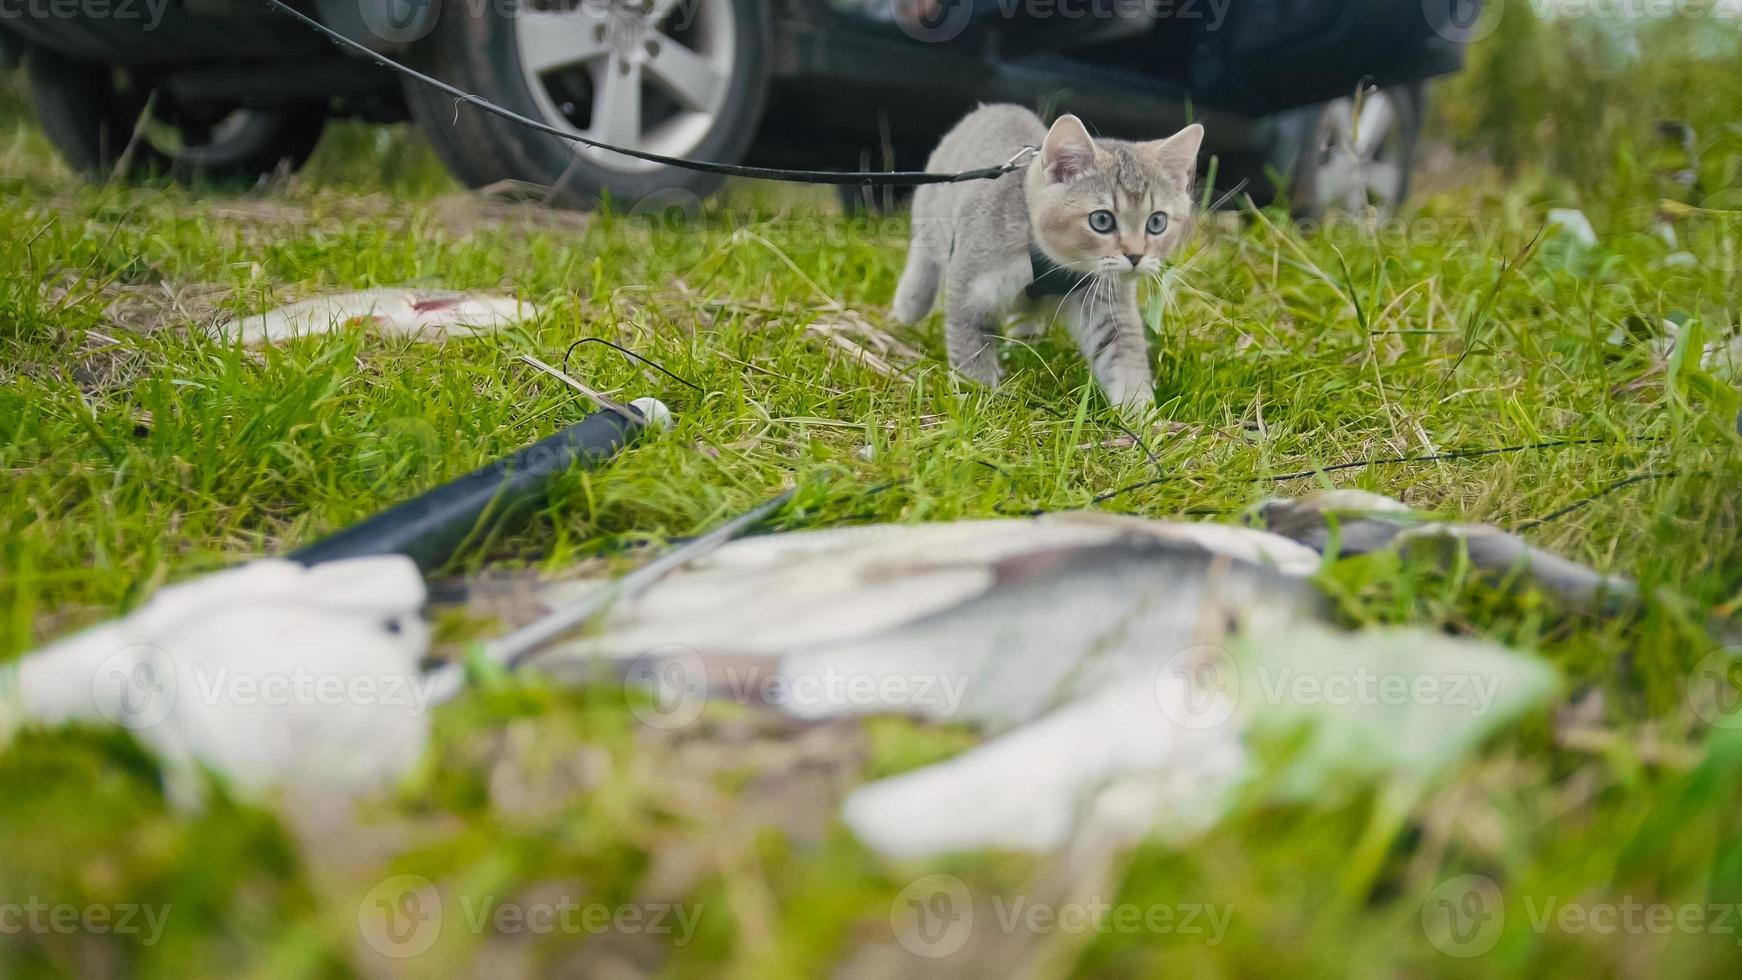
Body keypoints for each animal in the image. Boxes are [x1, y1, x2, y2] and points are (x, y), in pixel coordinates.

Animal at [898, 105, 1198, 412]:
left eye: (1157, 222)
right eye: (1102, 220)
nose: (1136, 255)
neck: (1047, 259)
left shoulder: (1104, 299)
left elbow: (1123, 351)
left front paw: (1140, 410)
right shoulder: (970, 284)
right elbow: (969, 341)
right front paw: (976, 395)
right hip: (930, 218)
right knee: (923, 260)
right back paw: (908, 307)